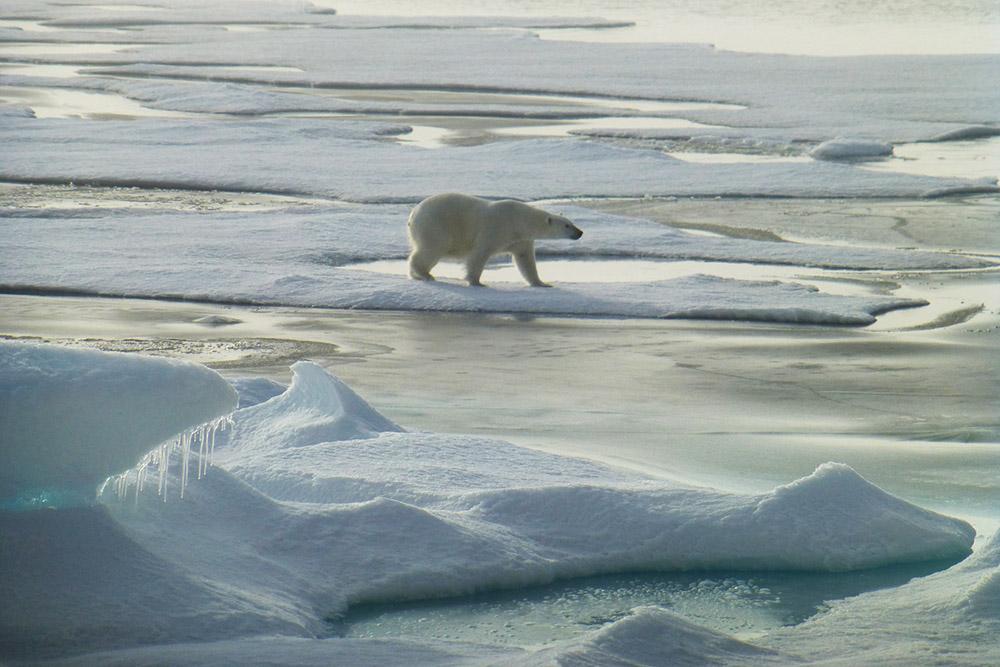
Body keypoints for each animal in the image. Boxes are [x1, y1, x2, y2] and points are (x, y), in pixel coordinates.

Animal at [406, 193, 584, 288]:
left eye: (572, 223)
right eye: (567, 225)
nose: (580, 232)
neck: (520, 220)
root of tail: (413, 214)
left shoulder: (520, 239)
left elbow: (525, 260)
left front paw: (542, 283)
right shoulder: (496, 229)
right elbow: (479, 254)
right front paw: (477, 282)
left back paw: (417, 275)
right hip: (434, 225)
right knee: (432, 249)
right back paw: (425, 274)